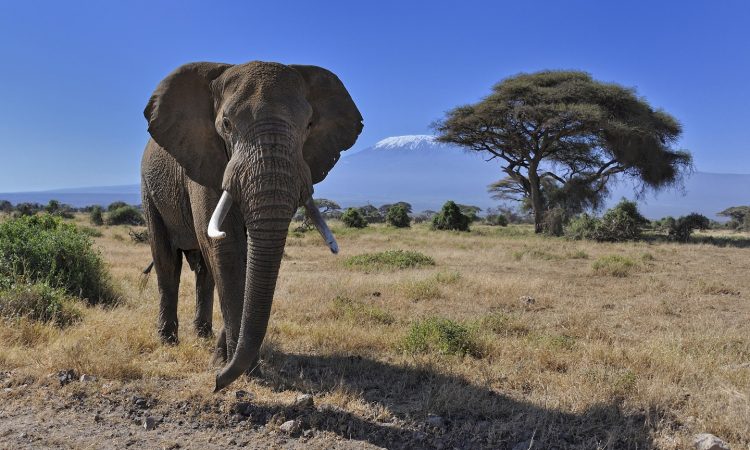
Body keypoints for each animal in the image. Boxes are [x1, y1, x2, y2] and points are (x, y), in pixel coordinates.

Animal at [140, 61, 363, 391]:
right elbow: (227, 246)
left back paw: (203, 336)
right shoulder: (204, 157)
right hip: (149, 188)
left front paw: (226, 359)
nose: (216, 382)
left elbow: (244, 256)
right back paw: (168, 341)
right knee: (167, 260)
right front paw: (243, 370)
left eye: (309, 125)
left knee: (204, 270)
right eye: (227, 124)